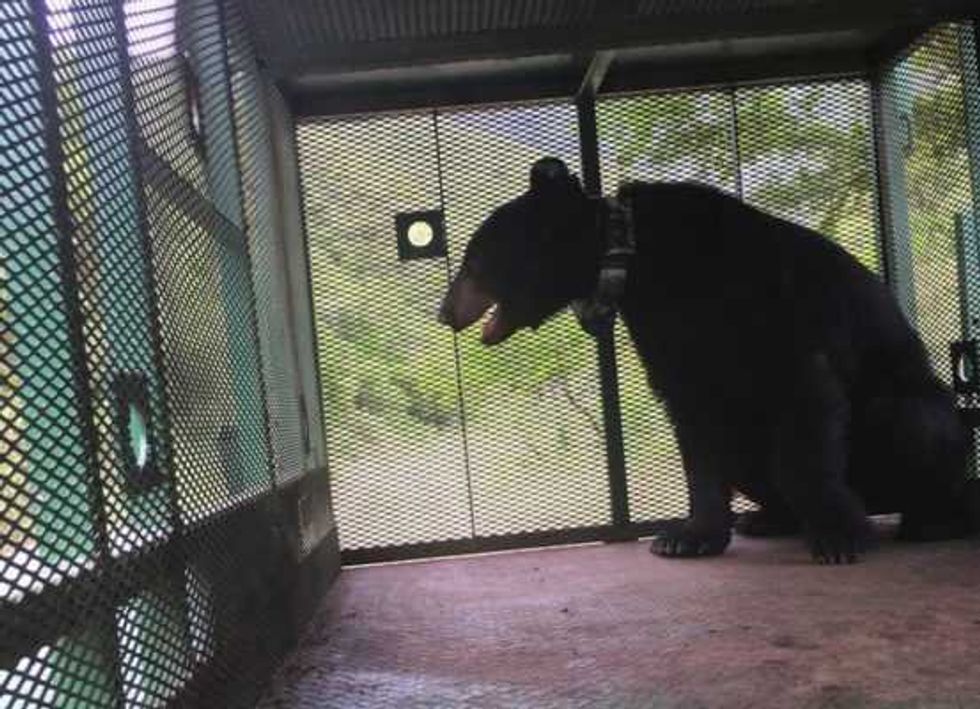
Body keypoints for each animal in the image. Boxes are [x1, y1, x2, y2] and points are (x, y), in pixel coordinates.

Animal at [438, 157, 975, 564]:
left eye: (472, 261)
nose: (444, 312)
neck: (637, 261)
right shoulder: (668, 337)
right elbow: (694, 427)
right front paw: (689, 535)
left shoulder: (762, 298)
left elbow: (804, 402)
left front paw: (839, 536)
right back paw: (769, 518)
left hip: (908, 410)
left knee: (916, 420)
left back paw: (932, 518)